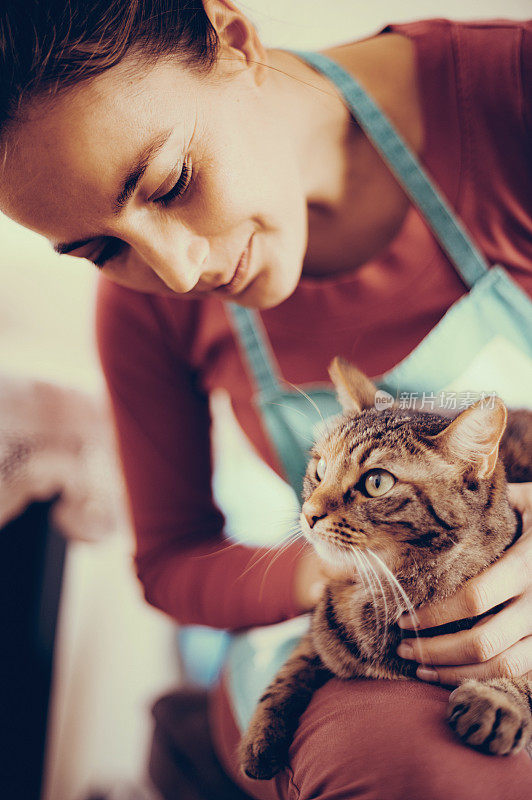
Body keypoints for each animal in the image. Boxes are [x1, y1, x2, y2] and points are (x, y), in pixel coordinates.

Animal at [241, 358, 532, 780]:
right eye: (320, 467)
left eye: (376, 482)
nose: (309, 513)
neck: (380, 586)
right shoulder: (317, 629)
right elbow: (288, 672)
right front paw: (261, 736)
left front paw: (498, 701)